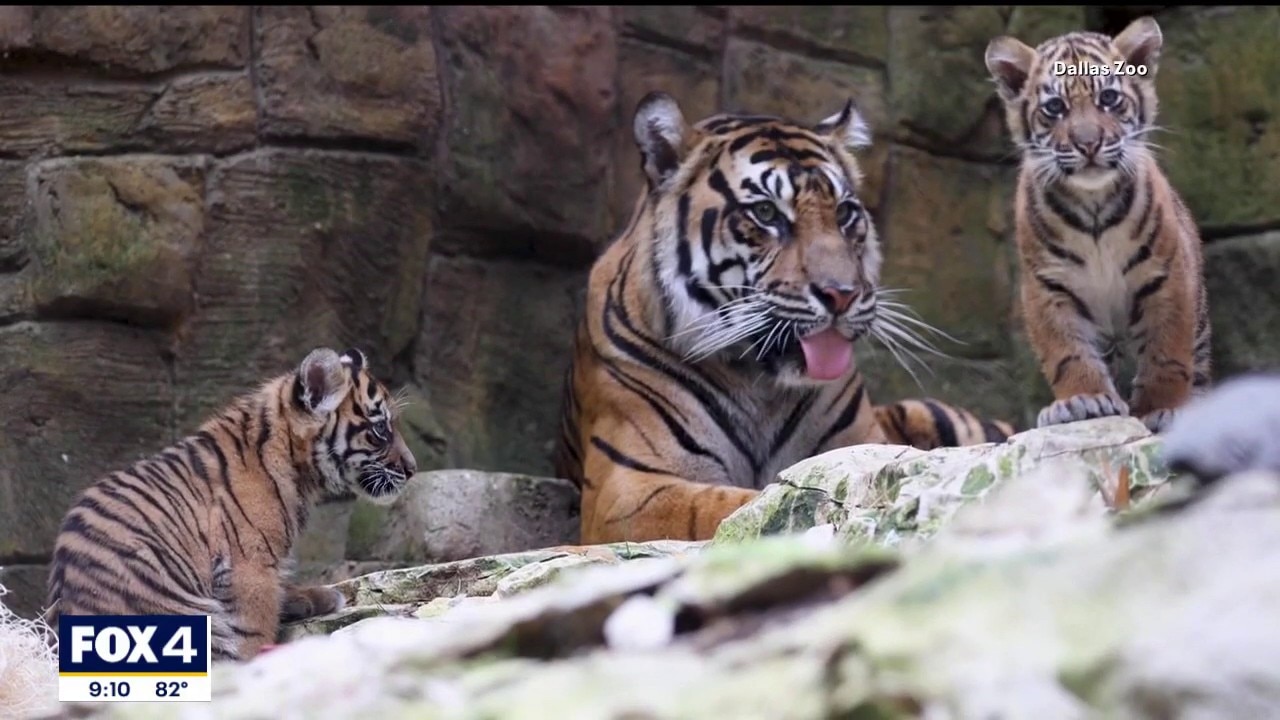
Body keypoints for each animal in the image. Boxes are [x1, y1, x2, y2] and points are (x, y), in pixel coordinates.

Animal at [553, 91, 1017, 545]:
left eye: (844, 213)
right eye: (766, 213)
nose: (842, 294)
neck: (760, 385)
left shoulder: (862, 446)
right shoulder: (627, 489)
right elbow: (735, 506)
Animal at [983, 16, 1211, 434]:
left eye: (1108, 98)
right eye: (1055, 107)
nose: (1088, 143)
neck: (1094, 208)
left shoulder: (1167, 276)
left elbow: (1167, 353)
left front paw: (1164, 408)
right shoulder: (1048, 287)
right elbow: (1067, 353)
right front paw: (1083, 400)